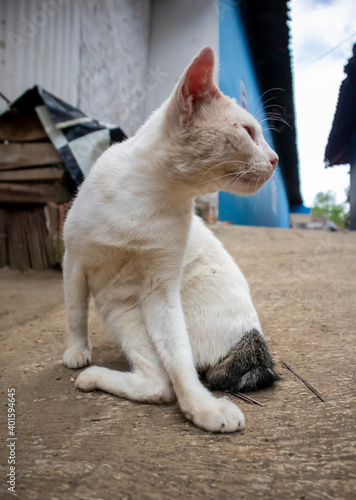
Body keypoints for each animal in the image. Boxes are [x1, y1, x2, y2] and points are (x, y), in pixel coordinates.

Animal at [62, 46, 280, 434]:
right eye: (249, 131)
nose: (275, 159)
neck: (153, 196)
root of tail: (253, 338)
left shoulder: (160, 287)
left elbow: (179, 358)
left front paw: (202, 406)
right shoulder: (72, 260)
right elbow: (75, 312)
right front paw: (76, 350)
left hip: (136, 308)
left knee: (162, 380)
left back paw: (98, 378)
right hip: (120, 309)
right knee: (156, 382)